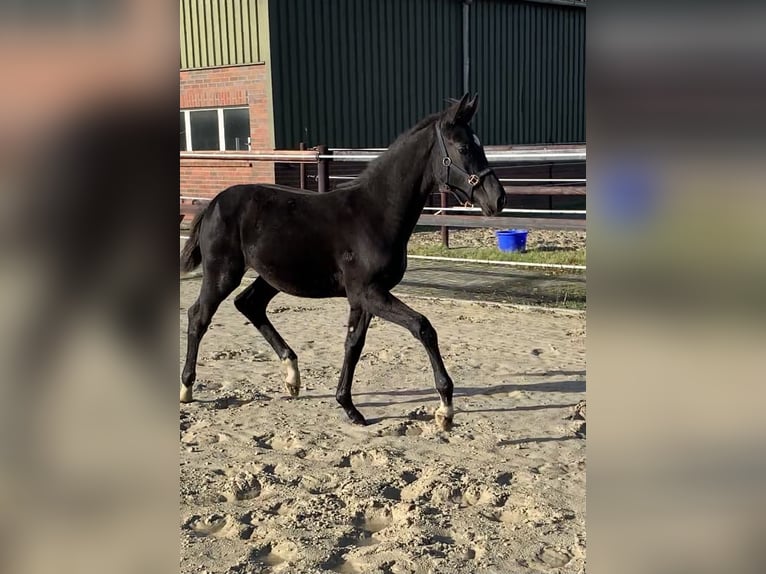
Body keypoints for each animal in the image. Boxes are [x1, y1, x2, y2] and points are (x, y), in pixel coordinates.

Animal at [179, 93, 504, 432]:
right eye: (463, 147)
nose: (498, 199)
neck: (375, 213)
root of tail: (213, 204)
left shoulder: (364, 297)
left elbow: (354, 344)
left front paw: (348, 406)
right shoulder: (368, 292)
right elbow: (423, 327)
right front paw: (445, 408)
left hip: (272, 276)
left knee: (249, 304)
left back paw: (292, 376)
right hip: (222, 273)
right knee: (198, 316)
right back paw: (187, 388)